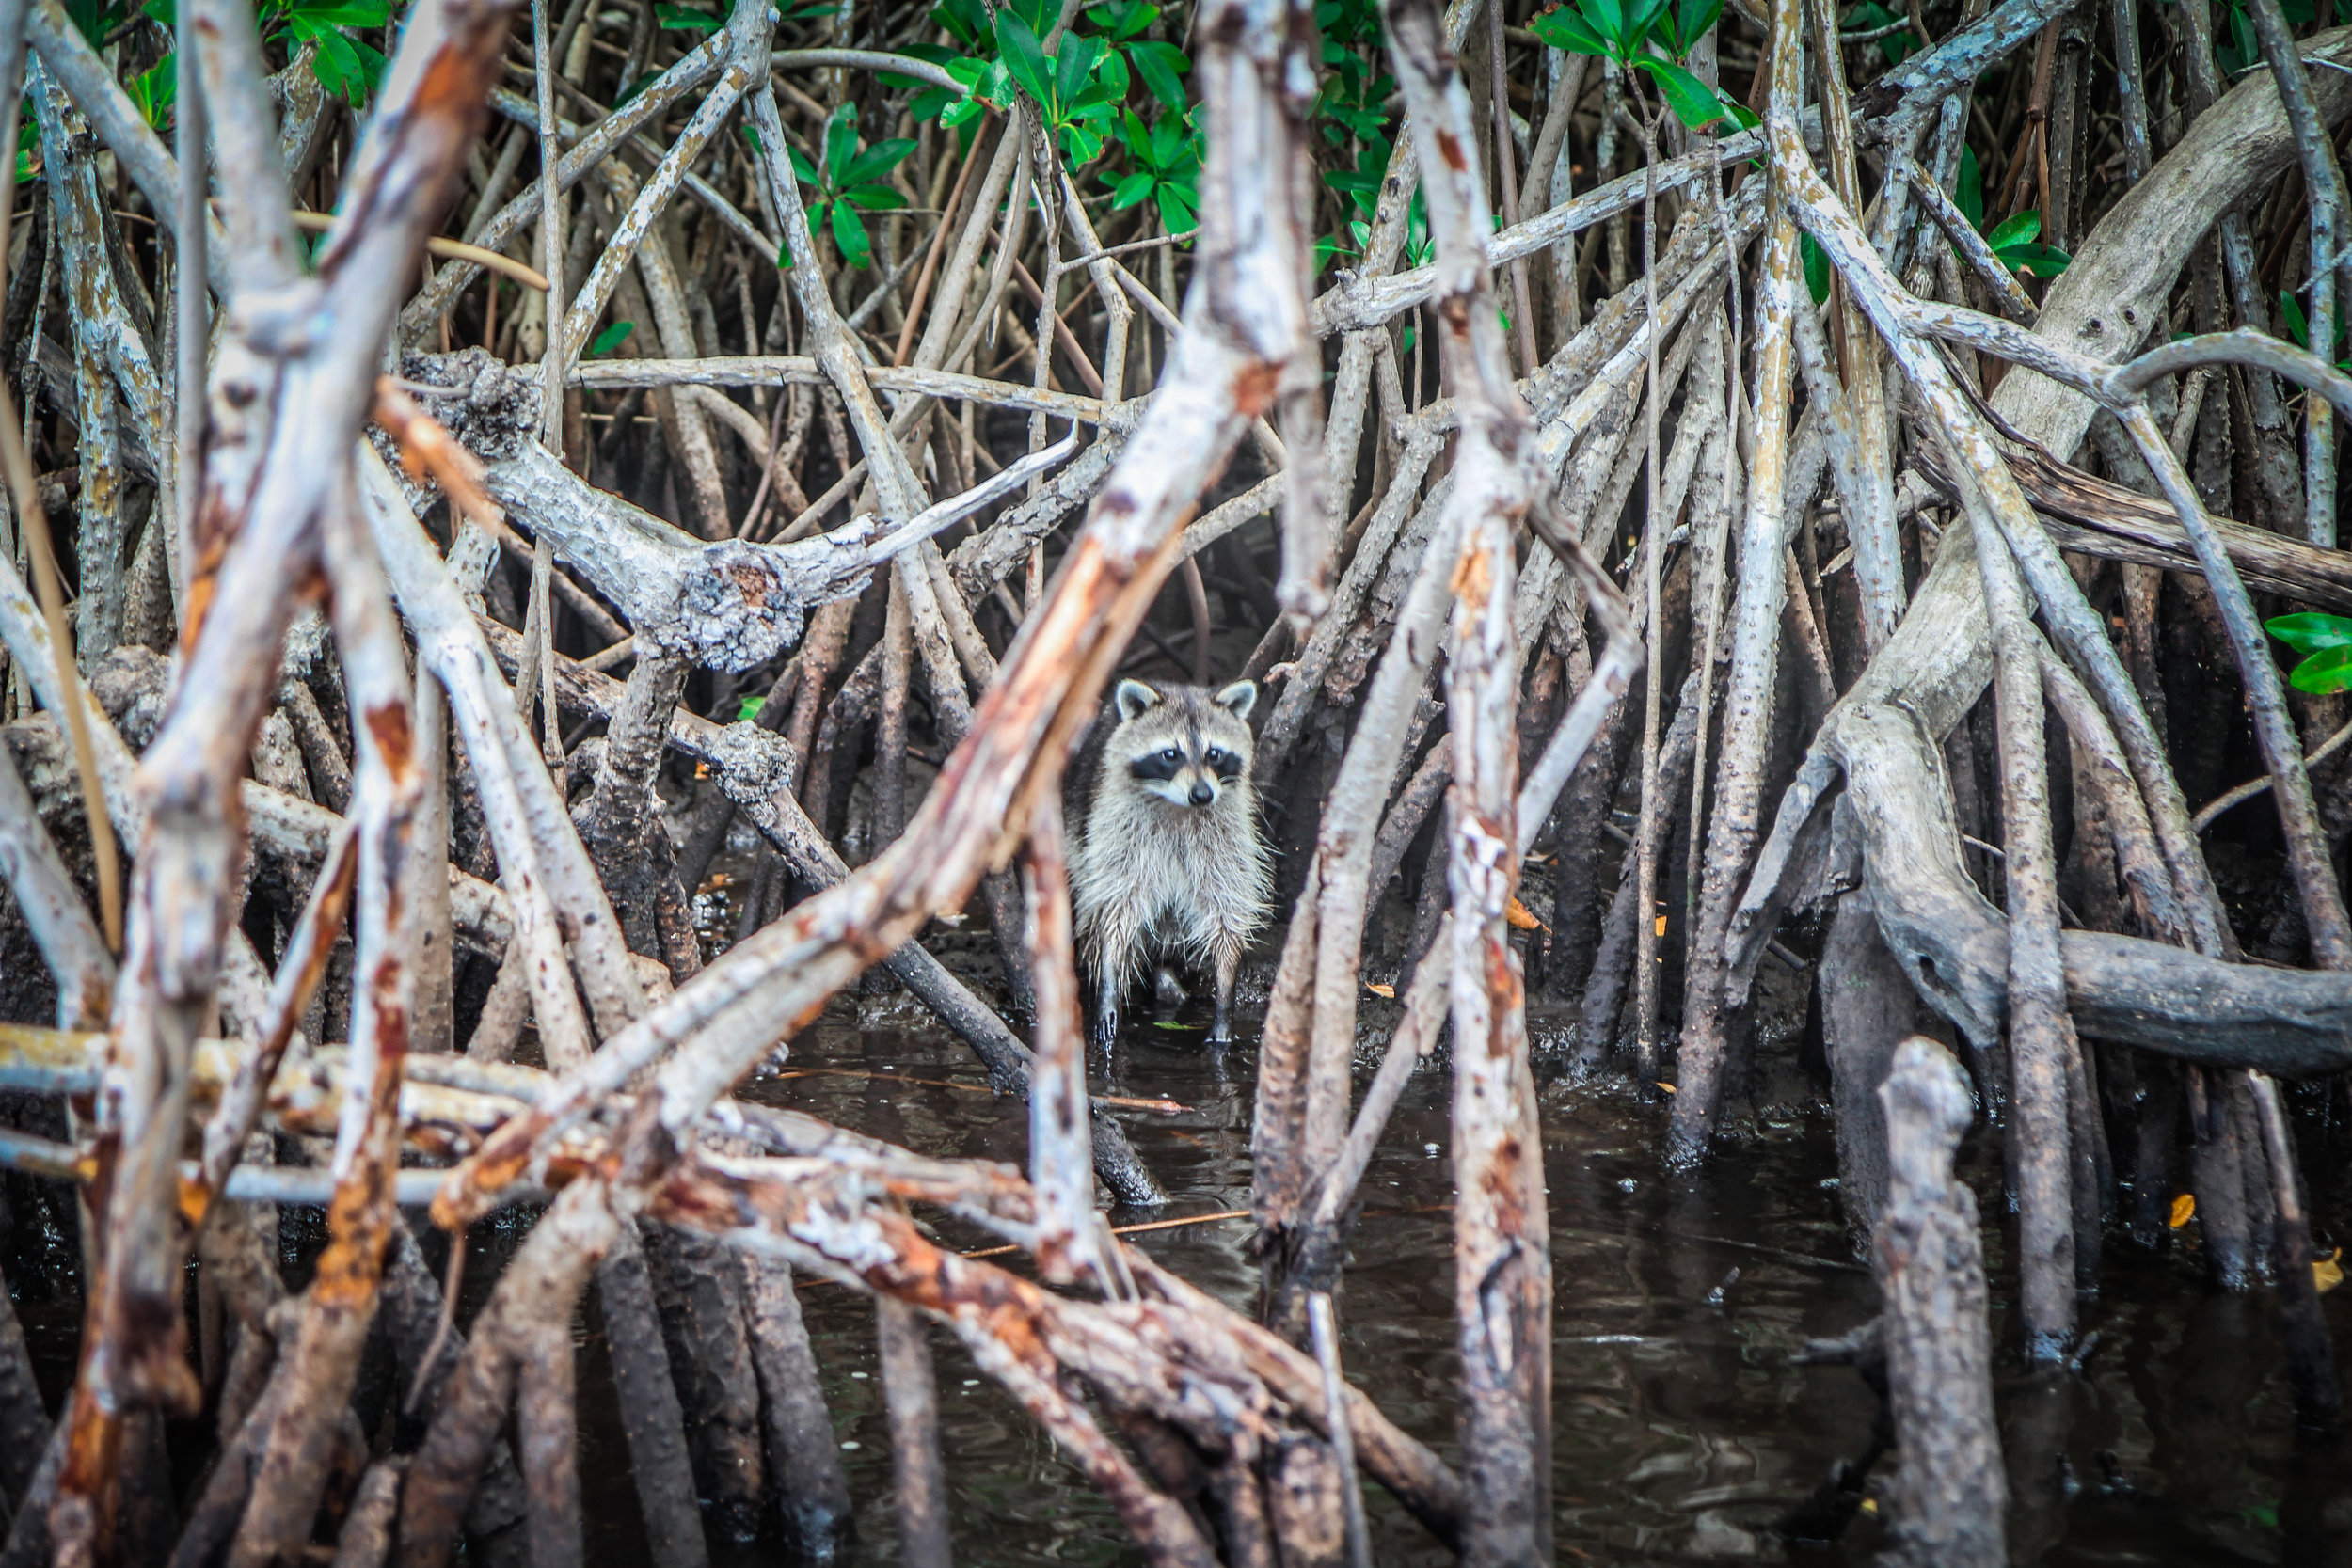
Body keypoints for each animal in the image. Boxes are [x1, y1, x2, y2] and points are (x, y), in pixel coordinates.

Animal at [1073, 676, 1279, 1043]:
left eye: (1214, 753)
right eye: (1171, 754)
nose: (1202, 794)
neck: (1179, 806)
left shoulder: (1225, 834)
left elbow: (1227, 907)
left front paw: (1225, 988)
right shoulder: (1118, 826)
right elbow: (1115, 906)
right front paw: (1109, 981)